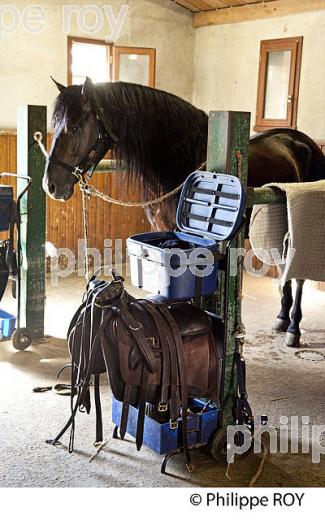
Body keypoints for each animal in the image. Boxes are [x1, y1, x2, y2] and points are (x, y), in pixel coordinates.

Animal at [42, 77, 324, 350]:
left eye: (74, 127)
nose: (50, 185)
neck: (183, 158)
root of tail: (305, 142)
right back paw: (281, 318)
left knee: (299, 275)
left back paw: (293, 328)